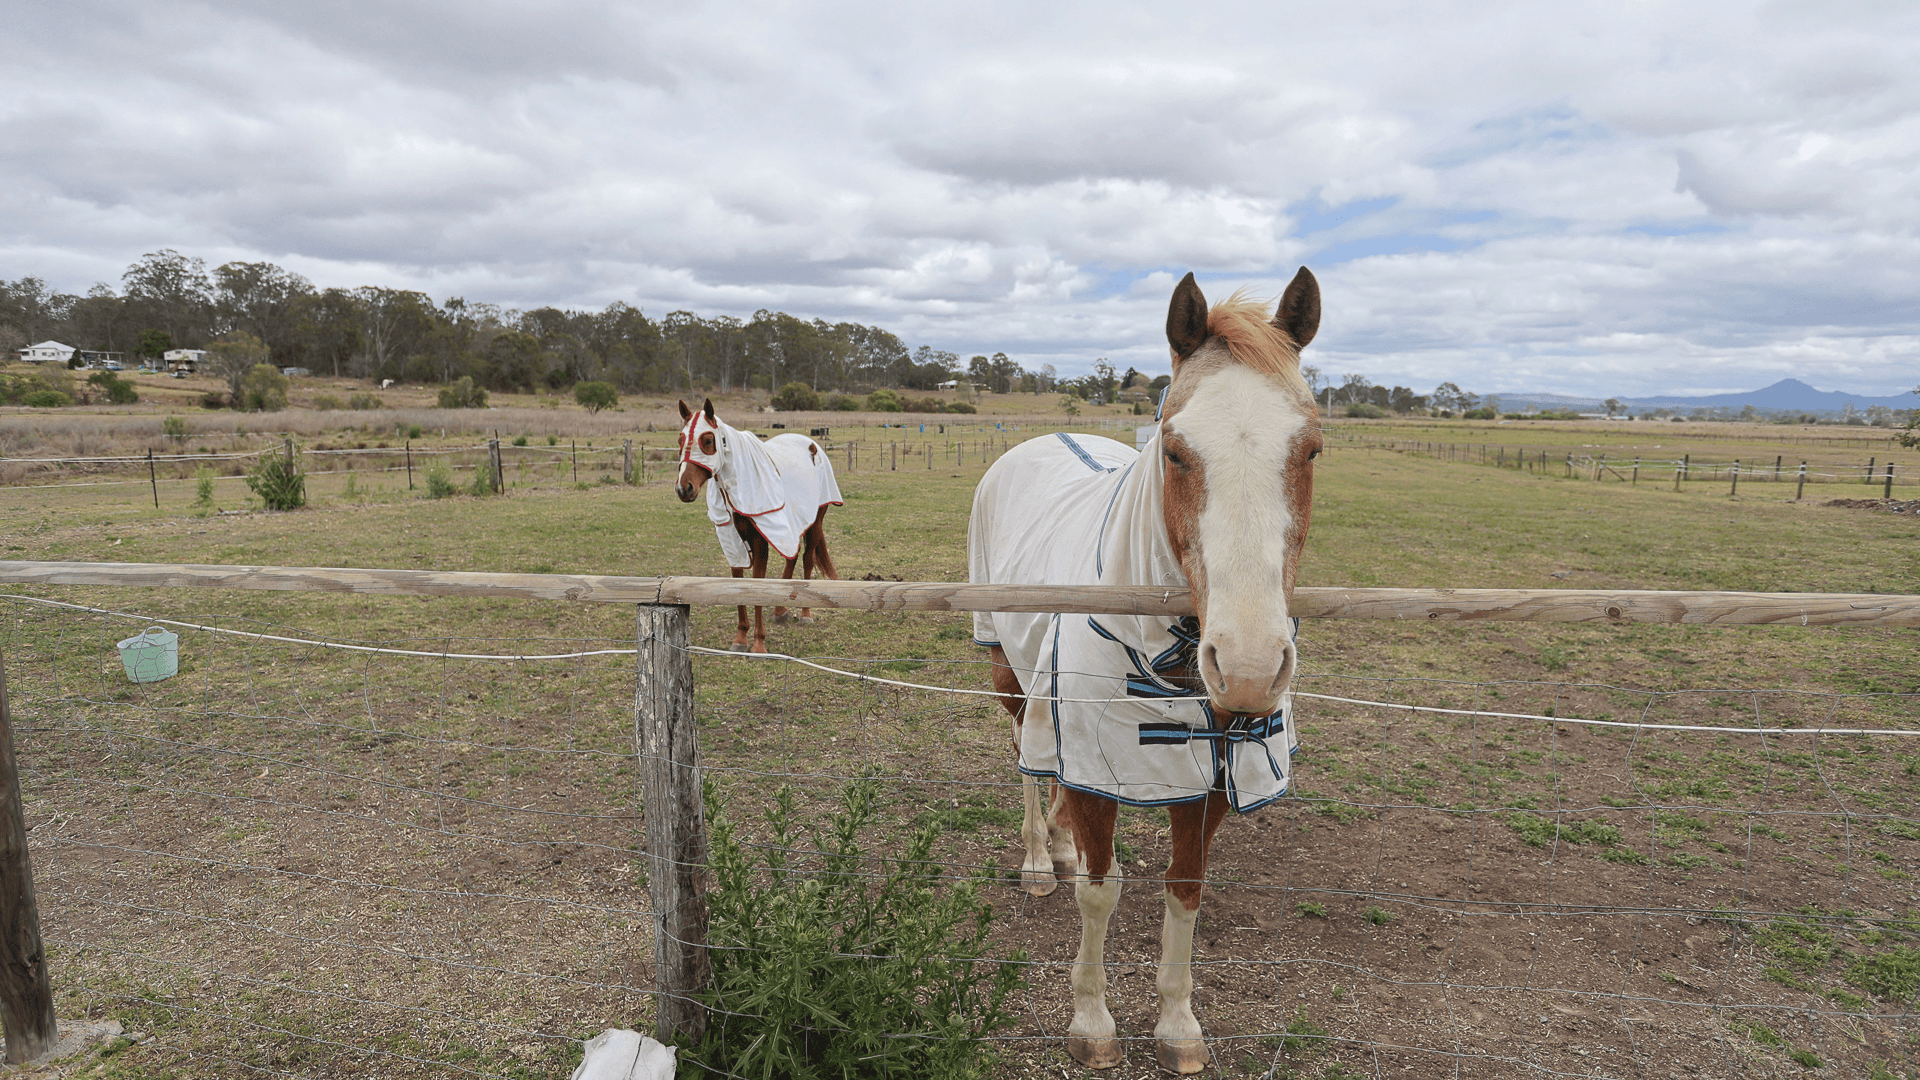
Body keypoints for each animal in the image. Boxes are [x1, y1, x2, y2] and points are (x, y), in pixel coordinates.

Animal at [675, 395, 840, 645]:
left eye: (708, 440)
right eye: (680, 439)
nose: (684, 489)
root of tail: (812, 444)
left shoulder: (760, 538)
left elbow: (757, 584)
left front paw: (759, 643)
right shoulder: (732, 539)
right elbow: (740, 583)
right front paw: (741, 637)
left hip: (815, 521)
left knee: (806, 559)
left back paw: (805, 613)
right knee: (792, 555)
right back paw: (780, 610)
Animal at [975, 267, 1320, 1068]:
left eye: (1312, 450)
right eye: (1175, 450)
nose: (1249, 667)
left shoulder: (1216, 777)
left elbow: (1184, 889)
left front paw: (1177, 1024)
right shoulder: (1094, 763)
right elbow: (1100, 891)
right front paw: (1092, 1023)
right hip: (1009, 673)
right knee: (1028, 764)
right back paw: (1039, 859)